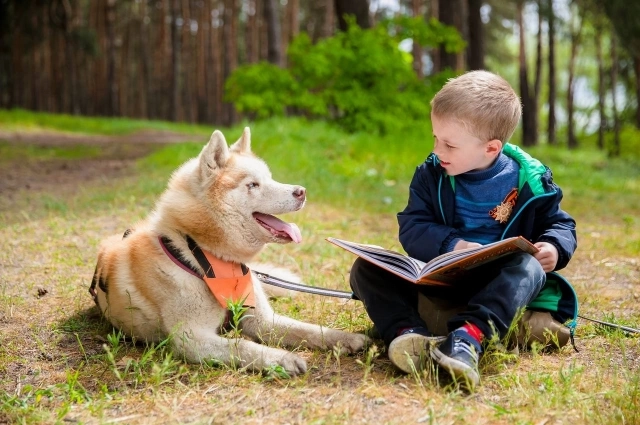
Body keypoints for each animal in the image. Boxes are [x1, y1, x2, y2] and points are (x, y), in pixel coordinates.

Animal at [92, 127, 368, 372]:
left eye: (270, 178)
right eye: (253, 185)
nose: (302, 192)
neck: (205, 258)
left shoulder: (262, 321)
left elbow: (307, 329)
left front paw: (345, 338)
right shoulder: (192, 338)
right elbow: (242, 346)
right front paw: (282, 359)